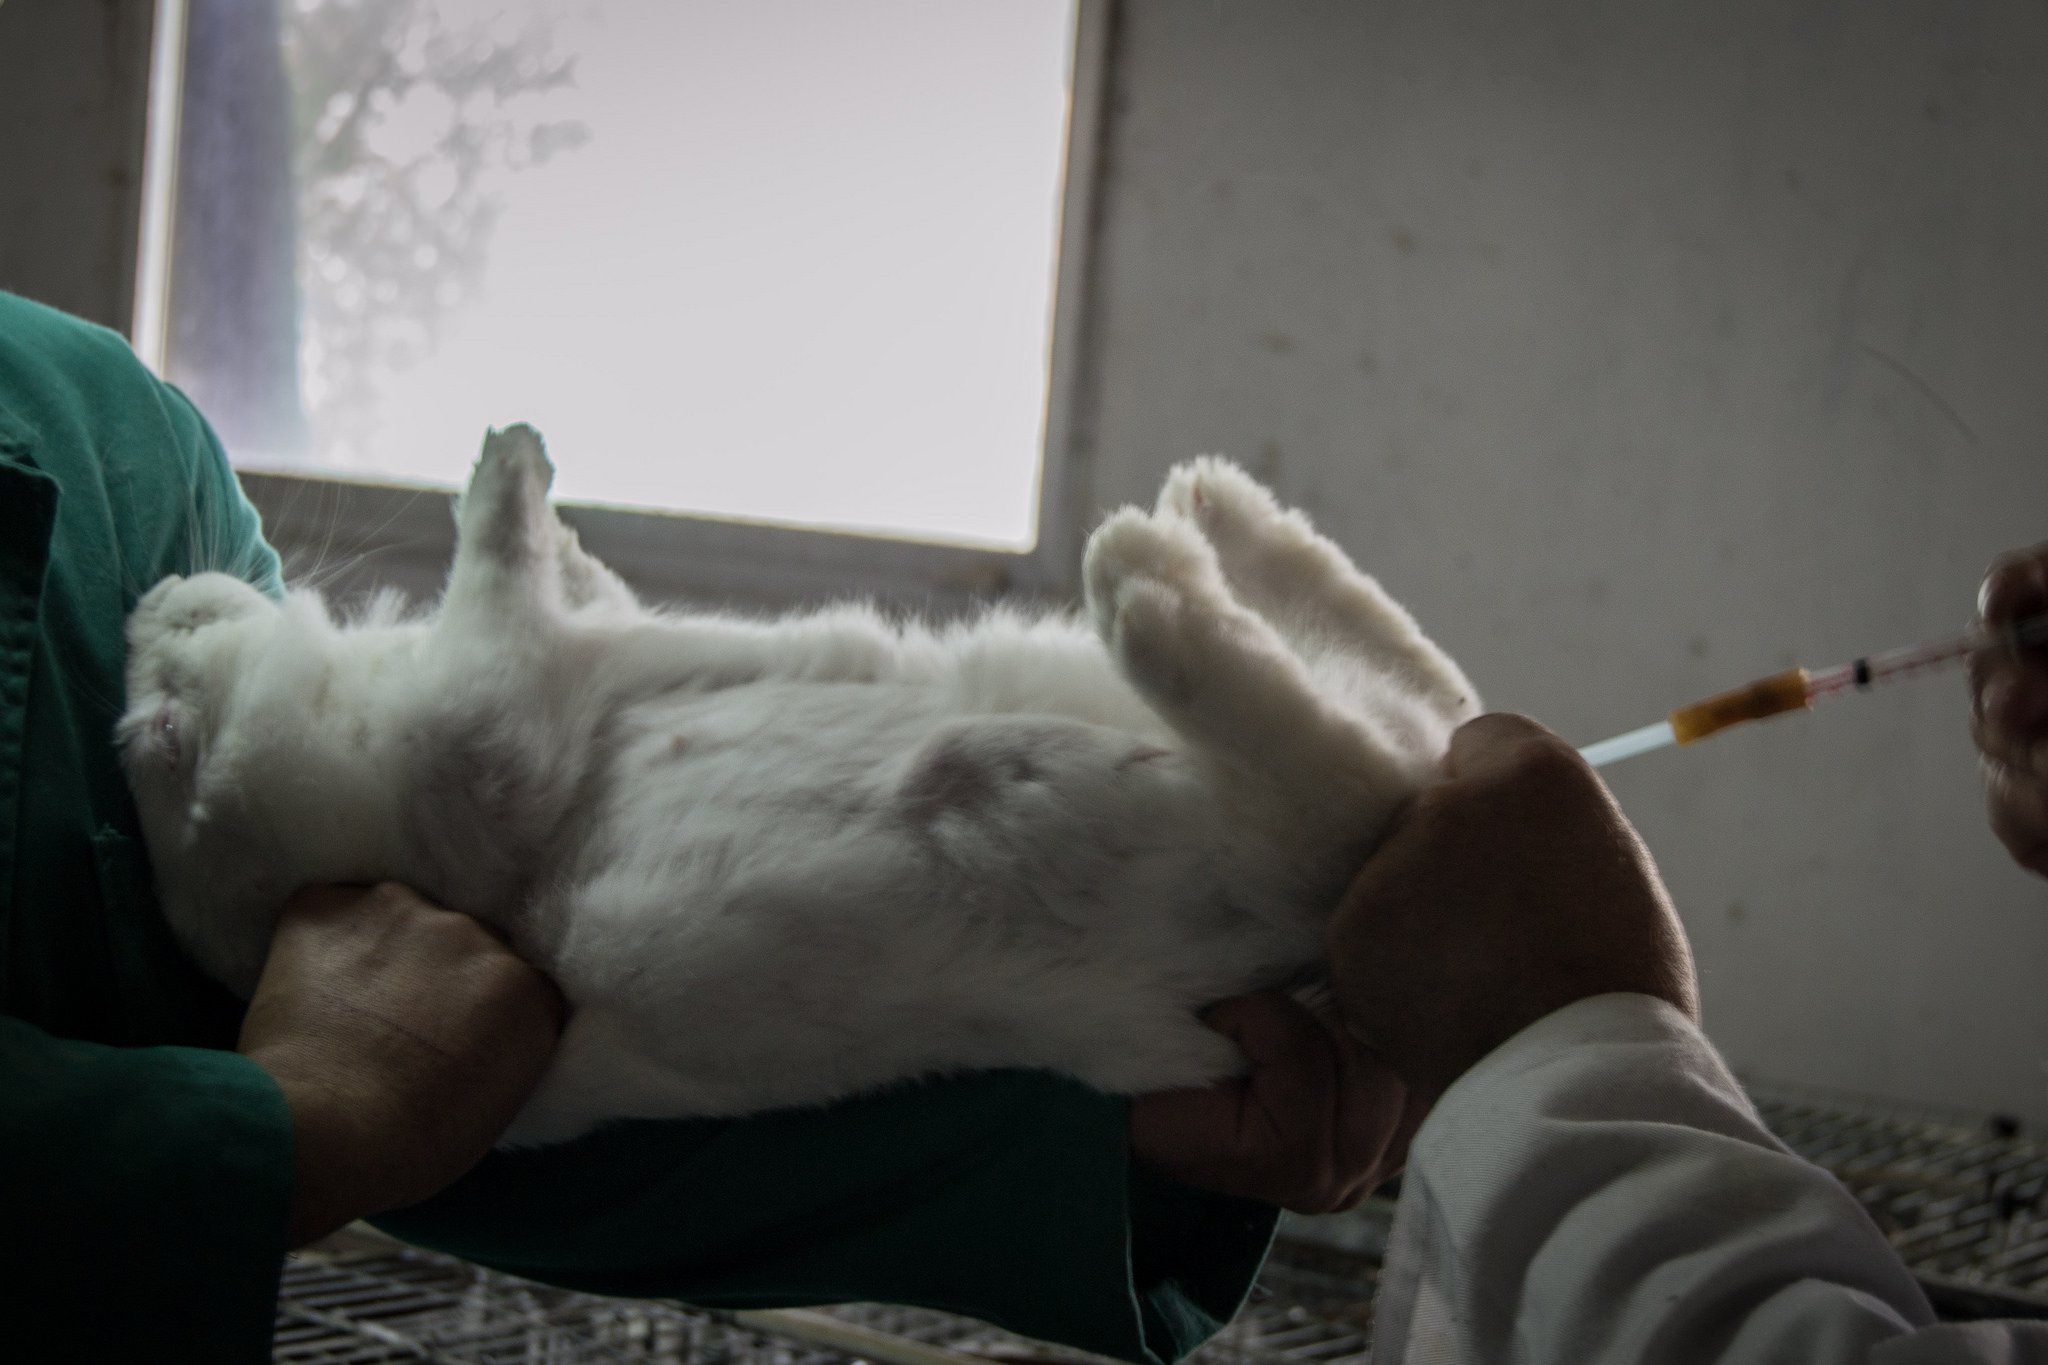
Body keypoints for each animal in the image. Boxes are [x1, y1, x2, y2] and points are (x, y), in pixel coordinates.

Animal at [118, 427, 1477, 1144]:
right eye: (159, 741)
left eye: (171, 648)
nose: (151, 602)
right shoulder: (484, 741)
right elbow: (495, 609)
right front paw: (508, 471)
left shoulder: (566, 667)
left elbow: (560, 595)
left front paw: (542, 504)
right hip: (1245, 813)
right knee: (1347, 761)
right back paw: (1148, 565)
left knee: (1421, 693)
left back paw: (1218, 506)